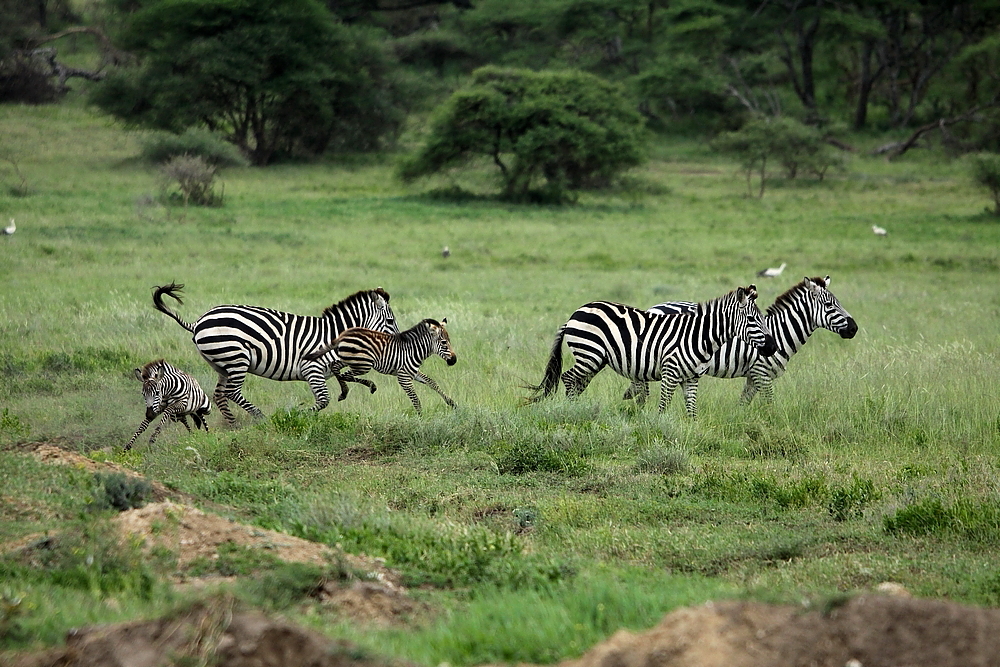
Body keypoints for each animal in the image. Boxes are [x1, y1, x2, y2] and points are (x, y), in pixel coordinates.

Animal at [150, 284, 396, 426]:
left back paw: (233, 425)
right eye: (391, 321)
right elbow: (323, 401)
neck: (333, 336)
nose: (397, 342)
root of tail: (198, 322)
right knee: (232, 392)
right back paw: (261, 418)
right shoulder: (312, 369)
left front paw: (353, 389)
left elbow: (344, 376)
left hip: (221, 364)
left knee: (220, 394)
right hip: (236, 358)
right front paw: (298, 415)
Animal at [304, 318, 458, 412]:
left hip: (350, 359)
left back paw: (345, 391)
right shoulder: (403, 376)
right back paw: (364, 387)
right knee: (345, 374)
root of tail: (344, 334)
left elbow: (432, 382)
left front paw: (452, 403)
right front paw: (420, 417)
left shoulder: (412, 373)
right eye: (444, 342)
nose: (454, 360)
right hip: (363, 364)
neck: (414, 350)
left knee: (335, 366)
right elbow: (415, 399)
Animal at [528, 286, 776, 418]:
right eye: (752, 319)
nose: (773, 347)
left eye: (762, 318)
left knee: (578, 381)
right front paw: (661, 429)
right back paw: (570, 410)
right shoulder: (670, 371)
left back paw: (577, 409)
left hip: (595, 359)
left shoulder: (692, 378)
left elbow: (692, 410)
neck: (699, 337)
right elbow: (663, 406)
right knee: (568, 378)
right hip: (589, 353)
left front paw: (691, 431)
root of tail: (576, 312)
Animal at [620, 276, 856, 408]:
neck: (780, 332)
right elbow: (770, 405)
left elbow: (743, 404)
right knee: (641, 386)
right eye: (829, 305)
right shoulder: (762, 373)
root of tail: (653, 307)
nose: (854, 328)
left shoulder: (753, 377)